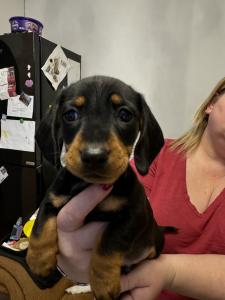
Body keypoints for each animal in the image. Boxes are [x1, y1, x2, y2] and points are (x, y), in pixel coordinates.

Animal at [26, 76, 166, 300]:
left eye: (125, 115)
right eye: (70, 114)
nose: (94, 155)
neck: (87, 184)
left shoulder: (133, 215)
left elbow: (108, 244)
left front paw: (104, 281)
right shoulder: (52, 198)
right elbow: (40, 226)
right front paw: (39, 262)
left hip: (154, 244)